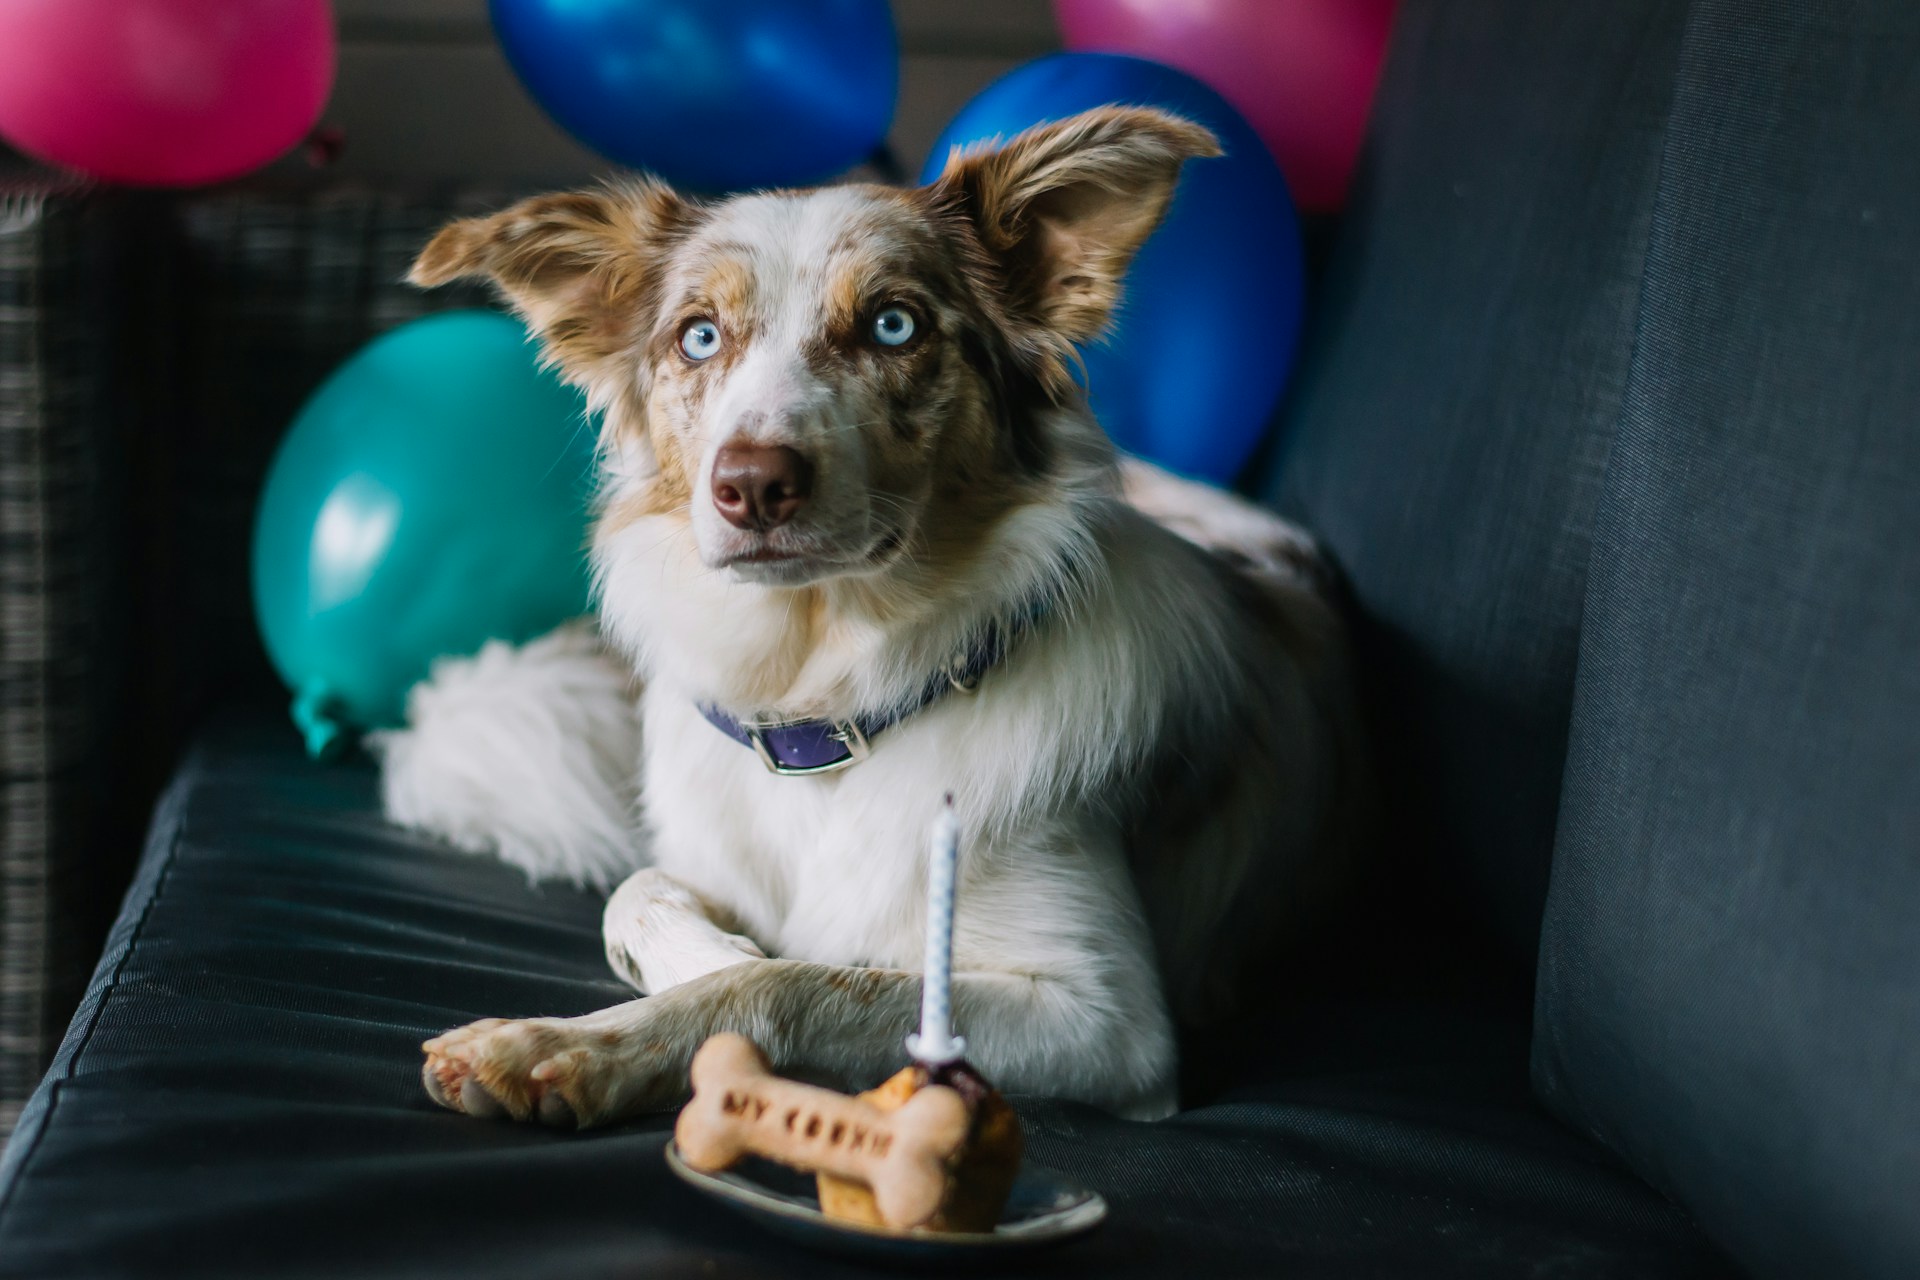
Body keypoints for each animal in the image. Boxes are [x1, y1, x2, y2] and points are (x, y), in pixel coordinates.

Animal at [378, 110, 1367, 1128]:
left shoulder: (1109, 1021)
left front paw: (563, 1044)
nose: (751, 485)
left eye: (895, 325)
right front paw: (709, 952)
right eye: (699, 337)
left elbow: (795, 981)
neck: (826, 696)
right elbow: (639, 891)